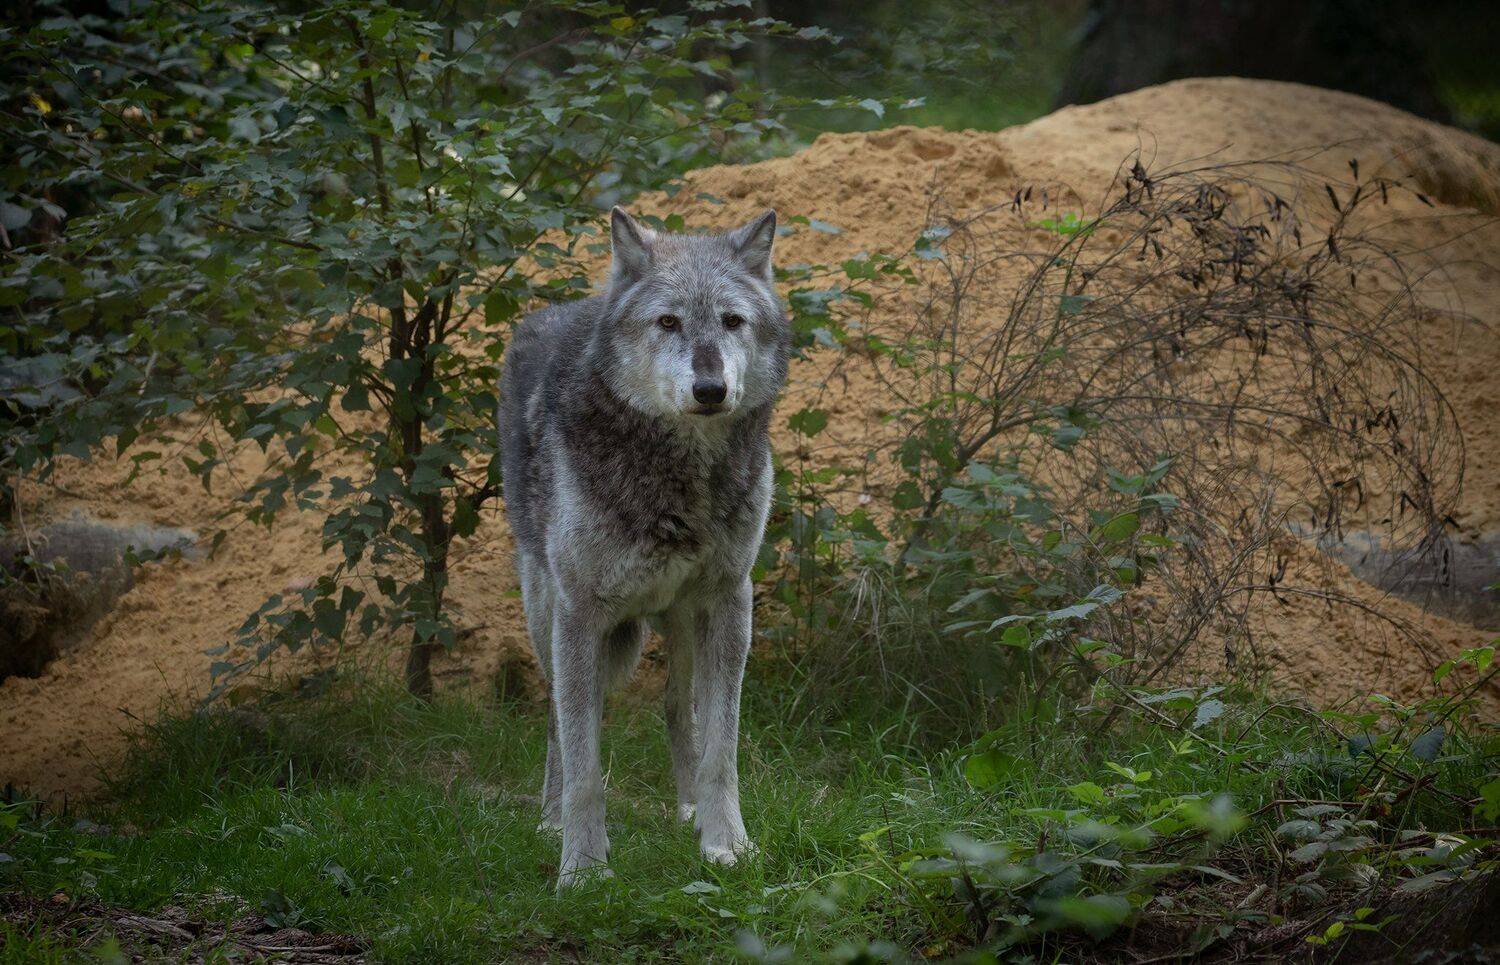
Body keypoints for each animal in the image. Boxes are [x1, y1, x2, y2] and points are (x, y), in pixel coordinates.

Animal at [499, 206, 788, 886]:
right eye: (668, 322)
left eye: (732, 321)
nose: (710, 389)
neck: (678, 474)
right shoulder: (580, 614)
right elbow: (585, 766)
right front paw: (581, 870)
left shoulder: (730, 600)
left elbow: (720, 750)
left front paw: (726, 845)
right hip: (546, 615)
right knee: (555, 722)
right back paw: (548, 820)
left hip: (681, 621)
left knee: (678, 710)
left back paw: (688, 812)